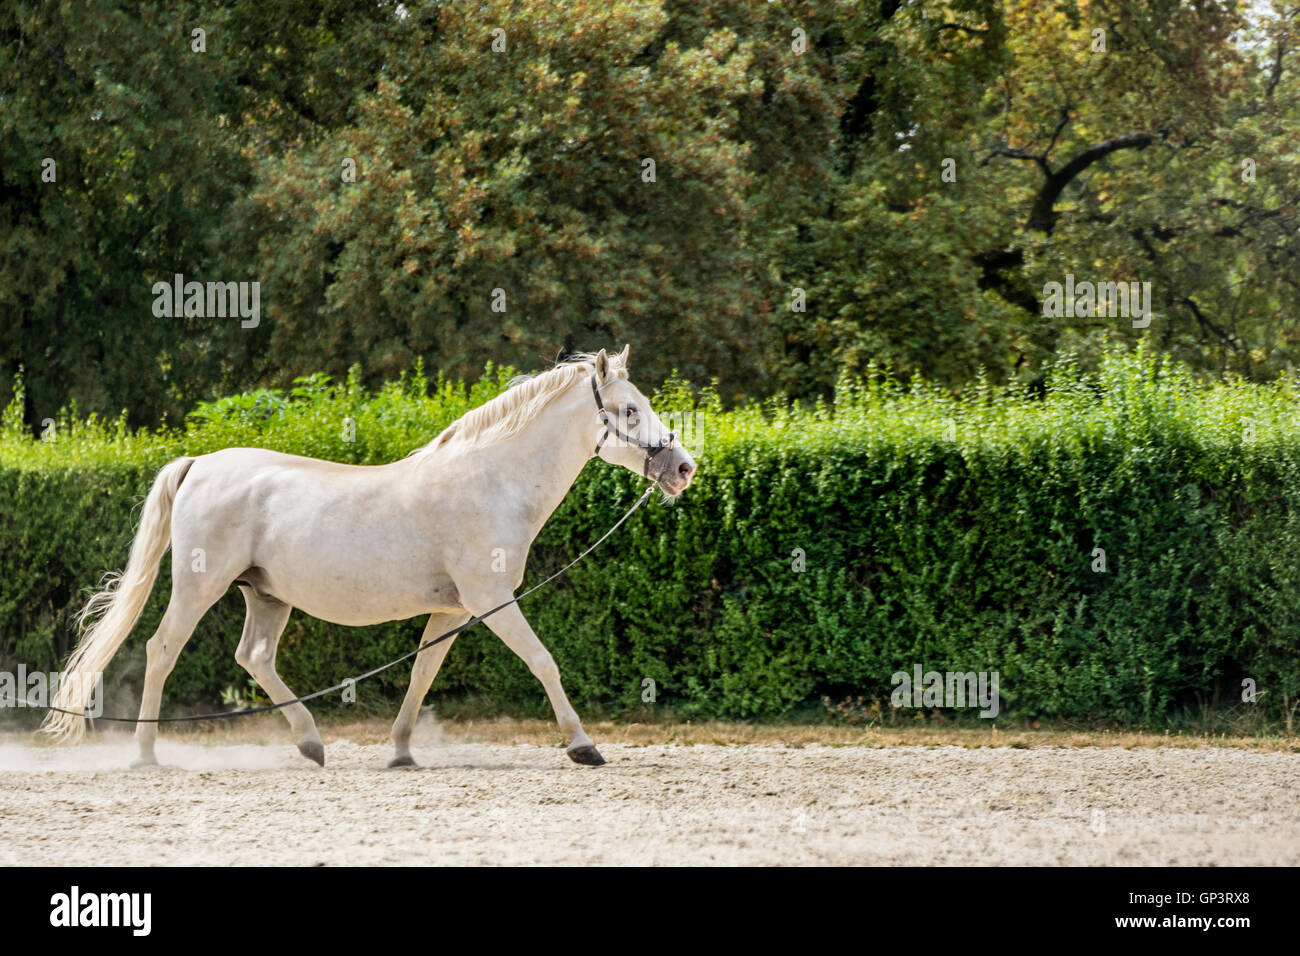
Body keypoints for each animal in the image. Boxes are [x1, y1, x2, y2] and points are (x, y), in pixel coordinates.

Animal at [45, 348, 696, 770]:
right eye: (630, 410)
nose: (683, 467)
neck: (489, 482)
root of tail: (200, 462)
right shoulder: (492, 601)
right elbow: (543, 661)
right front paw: (583, 745)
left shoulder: (455, 610)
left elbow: (421, 674)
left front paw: (402, 750)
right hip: (199, 588)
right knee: (162, 651)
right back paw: (146, 754)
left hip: (267, 595)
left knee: (253, 657)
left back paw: (311, 744)